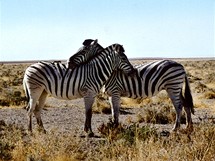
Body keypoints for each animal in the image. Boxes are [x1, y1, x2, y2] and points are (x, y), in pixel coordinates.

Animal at [67, 39, 195, 133]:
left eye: (82, 51)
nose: (68, 63)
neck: (111, 72)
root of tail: (181, 65)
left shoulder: (115, 92)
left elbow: (116, 111)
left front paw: (115, 128)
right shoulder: (110, 94)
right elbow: (113, 111)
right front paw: (113, 126)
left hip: (173, 86)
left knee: (178, 106)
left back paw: (175, 128)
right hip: (176, 88)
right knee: (186, 104)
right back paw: (188, 127)